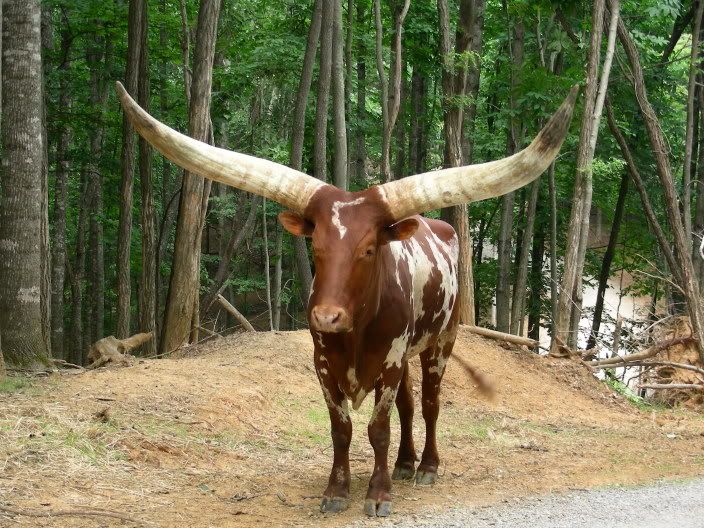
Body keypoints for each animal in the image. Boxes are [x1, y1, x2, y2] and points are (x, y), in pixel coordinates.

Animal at [116, 82, 577, 517]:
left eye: (369, 249)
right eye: (316, 245)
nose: (327, 316)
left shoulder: (389, 362)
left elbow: (378, 429)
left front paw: (378, 494)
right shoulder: (324, 364)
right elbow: (342, 429)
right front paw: (337, 491)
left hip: (441, 341)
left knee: (429, 404)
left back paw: (426, 467)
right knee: (409, 405)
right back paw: (405, 463)